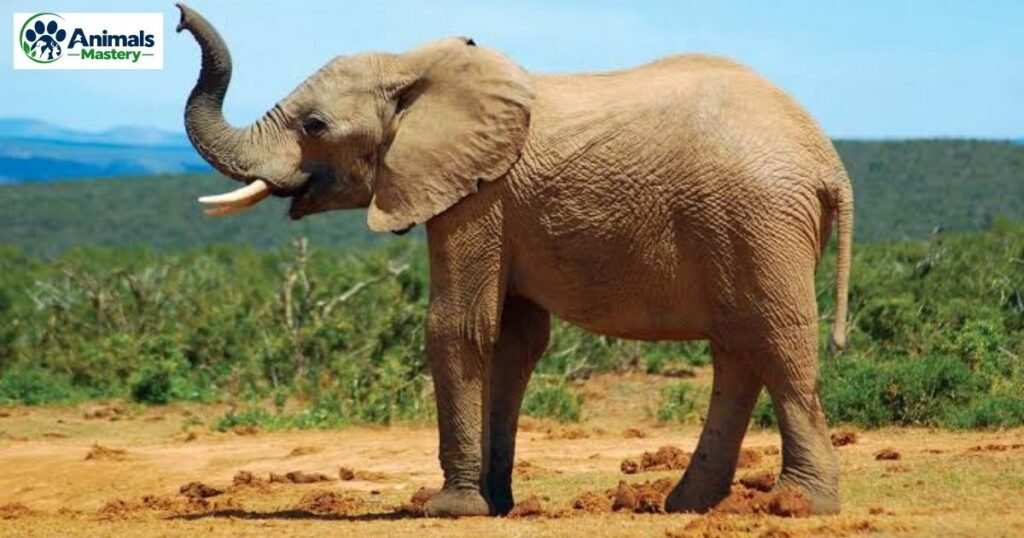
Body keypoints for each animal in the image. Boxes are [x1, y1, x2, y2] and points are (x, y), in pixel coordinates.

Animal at [176, 3, 853, 517]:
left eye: (314, 125)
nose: (180, 18)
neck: (413, 65)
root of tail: (828, 162)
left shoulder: (478, 195)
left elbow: (458, 327)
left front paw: (449, 510)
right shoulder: (496, 202)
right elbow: (513, 340)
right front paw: (492, 506)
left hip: (758, 219)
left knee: (775, 339)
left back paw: (797, 506)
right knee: (737, 349)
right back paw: (686, 505)